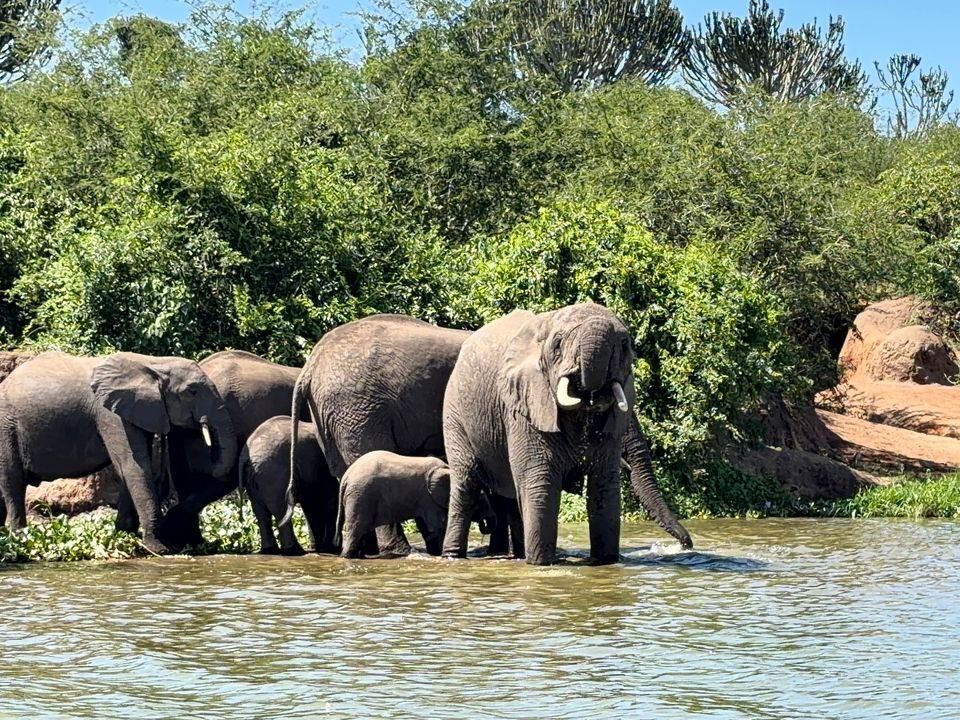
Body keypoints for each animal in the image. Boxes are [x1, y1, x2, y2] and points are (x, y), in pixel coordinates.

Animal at [0, 351, 236, 554]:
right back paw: (19, 538)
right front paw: (159, 549)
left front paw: (125, 535)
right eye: (192, 391)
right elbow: (134, 465)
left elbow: (129, 469)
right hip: (6, 429)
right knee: (13, 482)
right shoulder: (110, 414)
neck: (153, 363)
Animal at [238, 415, 335, 555]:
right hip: (273, 472)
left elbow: (312, 506)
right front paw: (329, 549)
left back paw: (270, 551)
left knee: (261, 512)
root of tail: (245, 455)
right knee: (280, 510)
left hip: (254, 476)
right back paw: (294, 551)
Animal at [442, 303, 693, 566]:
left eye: (625, 344)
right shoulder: (524, 404)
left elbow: (605, 488)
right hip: (455, 415)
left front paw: (605, 563)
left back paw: (519, 555)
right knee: (466, 485)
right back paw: (453, 557)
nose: (685, 545)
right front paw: (540, 564)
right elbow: (540, 484)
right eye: (558, 343)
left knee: (511, 497)